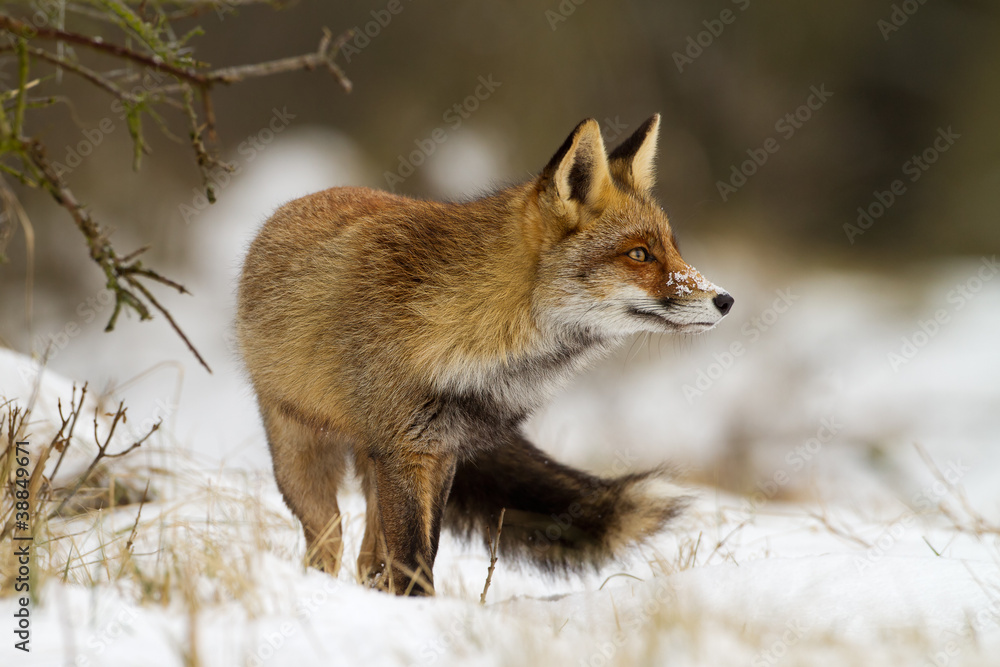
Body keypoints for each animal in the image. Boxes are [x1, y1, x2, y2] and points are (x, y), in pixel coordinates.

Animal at [236, 114, 734, 596]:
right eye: (639, 255)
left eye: (673, 250)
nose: (726, 300)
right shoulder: (405, 451)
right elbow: (413, 560)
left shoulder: (441, 453)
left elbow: (425, 551)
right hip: (302, 459)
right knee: (327, 544)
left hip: (372, 467)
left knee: (368, 559)